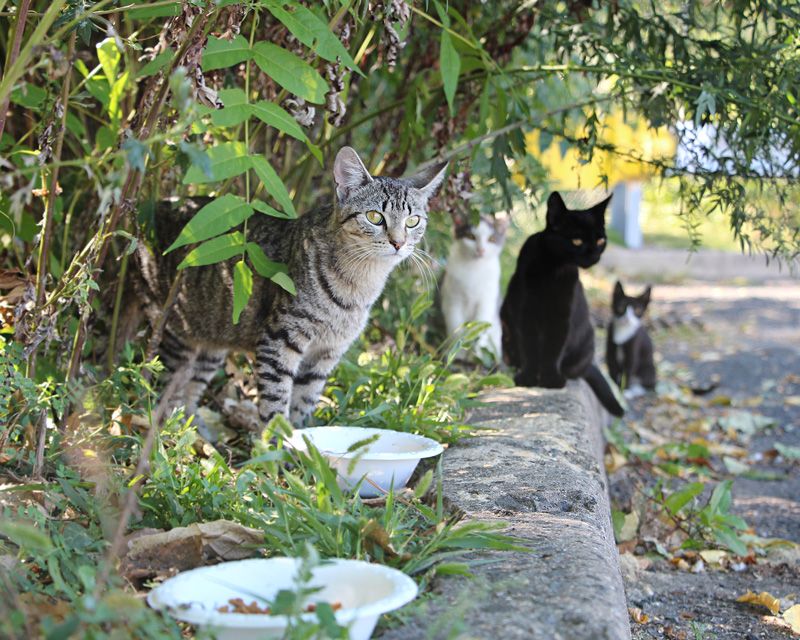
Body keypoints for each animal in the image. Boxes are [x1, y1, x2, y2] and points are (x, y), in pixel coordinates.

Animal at [139, 146, 450, 436]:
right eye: (375, 217)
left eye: (413, 221)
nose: (398, 243)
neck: (359, 286)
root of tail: (159, 205)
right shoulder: (279, 340)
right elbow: (276, 399)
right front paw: (279, 446)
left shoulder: (326, 354)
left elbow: (304, 400)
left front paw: (304, 443)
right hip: (174, 334)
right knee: (165, 395)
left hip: (212, 338)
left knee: (190, 393)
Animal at [440, 211, 510, 358]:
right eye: (471, 237)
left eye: (491, 239)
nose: (481, 250)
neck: (474, 268)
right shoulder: (452, 301)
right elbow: (455, 328)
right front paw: (457, 353)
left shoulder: (486, 302)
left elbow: (479, 329)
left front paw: (474, 353)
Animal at [500, 192, 624, 418]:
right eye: (576, 240)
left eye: (600, 240)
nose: (594, 255)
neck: (554, 268)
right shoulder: (525, 314)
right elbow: (529, 347)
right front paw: (528, 378)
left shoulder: (561, 316)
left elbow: (553, 349)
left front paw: (550, 380)